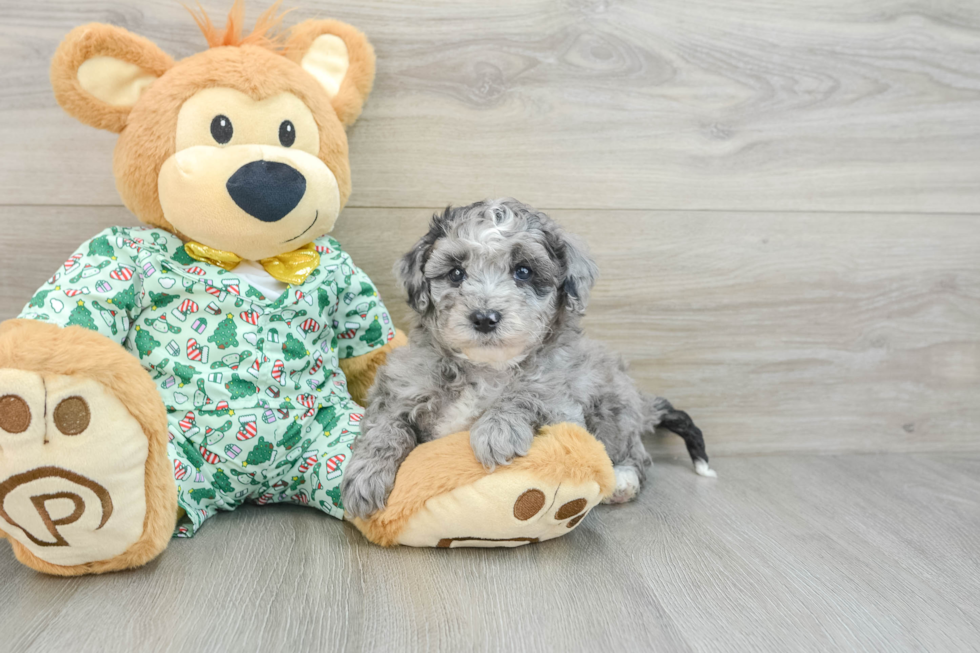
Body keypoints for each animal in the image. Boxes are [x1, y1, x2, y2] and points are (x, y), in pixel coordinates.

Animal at [342, 196, 712, 516]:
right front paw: (365, 476)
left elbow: (529, 393)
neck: (487, 369)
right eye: (456, 273)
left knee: (637, 455)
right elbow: (385, 427)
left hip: (614, 408)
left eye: (523, 271)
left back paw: (622, 480)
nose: (484, 318)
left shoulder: (563, 399)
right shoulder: (400, 388)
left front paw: (497, 430)